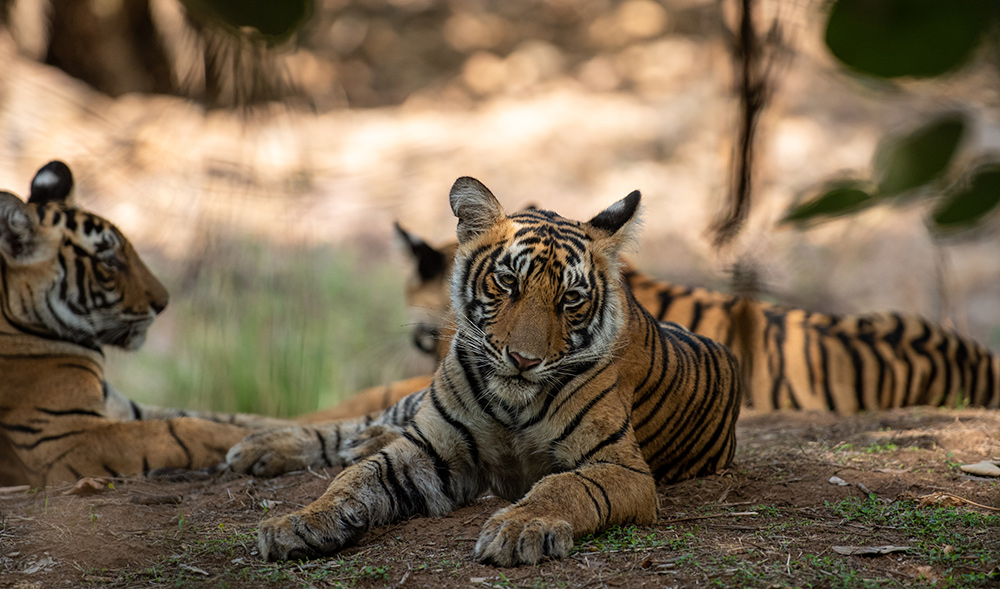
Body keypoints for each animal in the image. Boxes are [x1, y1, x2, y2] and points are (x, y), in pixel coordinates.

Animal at [0, 158, 296, 484]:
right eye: (109, 261)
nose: (163, 303)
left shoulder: (123, 408)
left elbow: (229, 416)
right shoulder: (65, 435)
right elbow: (187, 430)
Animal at [229, 176, 744, 564]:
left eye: (571, 299)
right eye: (507, 281)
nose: (524, 360)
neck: (512, 403)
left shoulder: (619, 466)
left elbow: (563, 485)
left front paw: (519, 528)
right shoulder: (430, 449)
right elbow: (351, 481)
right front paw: (298, 523)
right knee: (360, 424)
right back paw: (261, 447)